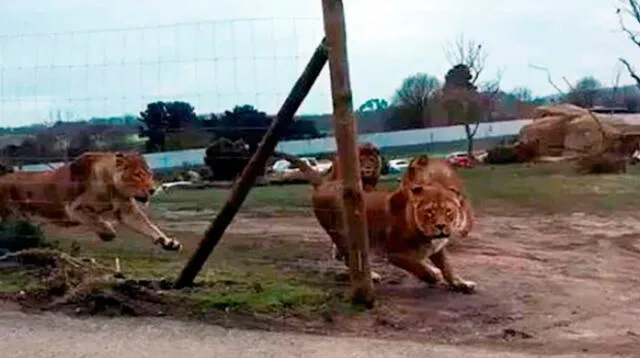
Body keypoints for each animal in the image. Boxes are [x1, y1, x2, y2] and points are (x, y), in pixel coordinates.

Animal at [0, 151, 182, 252]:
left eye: (150, 174)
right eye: (137, 175)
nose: (152, 189)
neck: (113, 189)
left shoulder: (127, 211)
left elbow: (149, 227)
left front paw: (168, 243)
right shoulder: (75, 207)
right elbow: (96, 220)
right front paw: (107, 233)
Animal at [278, 152, 478, 294]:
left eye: (448, 211)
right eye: (429, 211)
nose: (441, 226)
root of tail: (323, 183)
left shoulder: (437, 248)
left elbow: (448, 267)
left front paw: (461, 283)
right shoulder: (395, 254)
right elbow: (420, 267)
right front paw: (432, 275)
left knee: (343, 254)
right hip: (342, 232)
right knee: (347, 256)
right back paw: (369, 276)